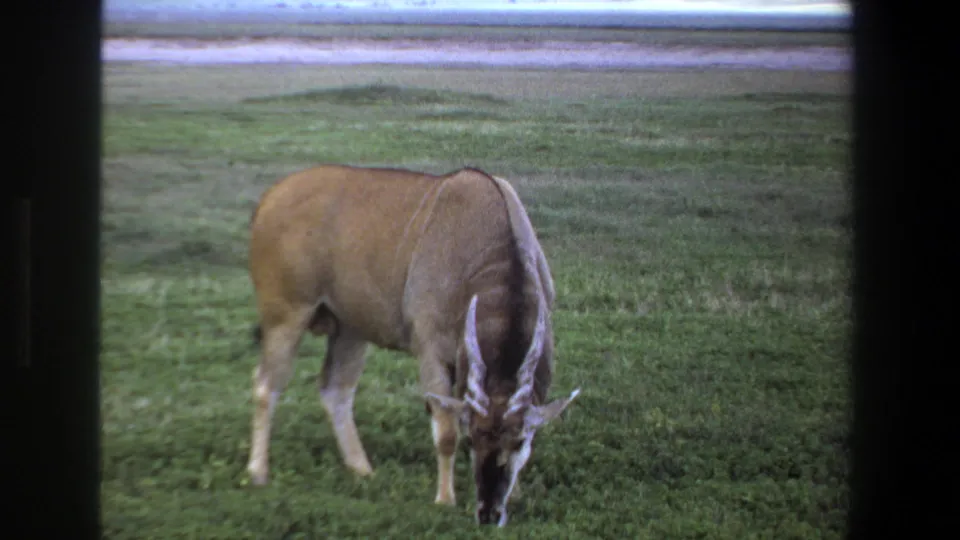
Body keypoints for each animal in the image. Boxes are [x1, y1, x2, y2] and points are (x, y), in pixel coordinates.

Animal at [245, 164, 580, 526]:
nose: (488, 513)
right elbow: (445, 432)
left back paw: (362, 469)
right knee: (266, 386)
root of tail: (270, 198)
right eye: (471, 438)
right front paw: (445, 499)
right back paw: (258, 472)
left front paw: (514, 494)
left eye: (519, 441)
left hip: (350, 329)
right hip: (286, 315)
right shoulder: (431, 351)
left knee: (335, 389)